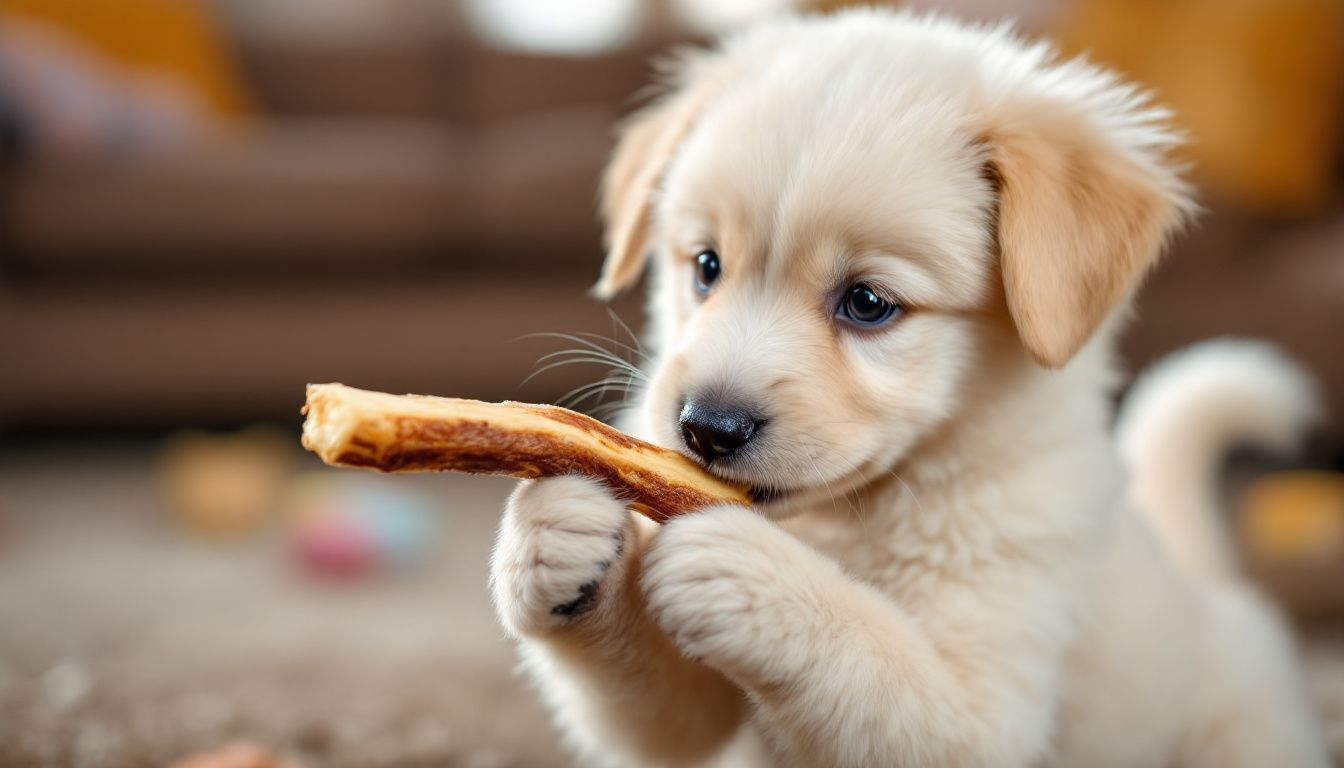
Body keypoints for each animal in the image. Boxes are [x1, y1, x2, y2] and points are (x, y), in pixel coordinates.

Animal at [489, 8, 1327, 763]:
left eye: (868, 303)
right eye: (706, 267)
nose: (707, 428)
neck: (853, 518)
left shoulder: (989, 701)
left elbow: (869, 655)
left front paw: (749, 572)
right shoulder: (695, 724)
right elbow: (654, 714)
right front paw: (552, 527)